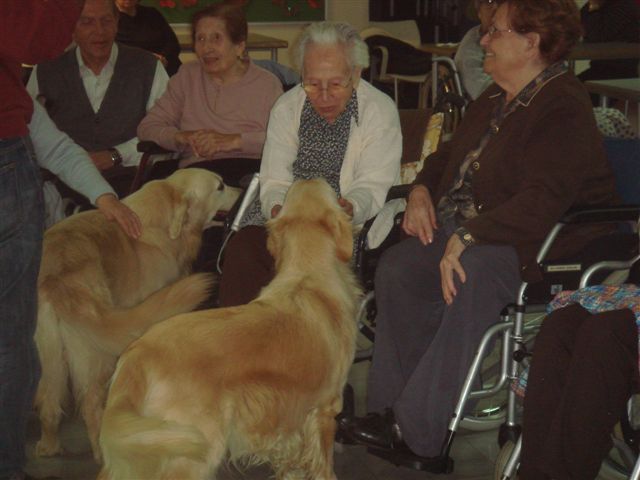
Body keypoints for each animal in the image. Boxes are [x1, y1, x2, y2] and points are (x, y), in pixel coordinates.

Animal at [35, 169, 240, 462]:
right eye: (220, 186)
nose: (243, 189)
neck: (161, 227)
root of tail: (56, 279)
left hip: (50, 355)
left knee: (48, 400)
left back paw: (49, 445)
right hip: (94, 353)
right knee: (90, 404)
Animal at [97, 178, 362, 478]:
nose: (307, 177)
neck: (307, 276)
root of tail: (139, 352)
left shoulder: (288, 419)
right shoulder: (326, 409)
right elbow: (324, 464)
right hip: (193, 448)